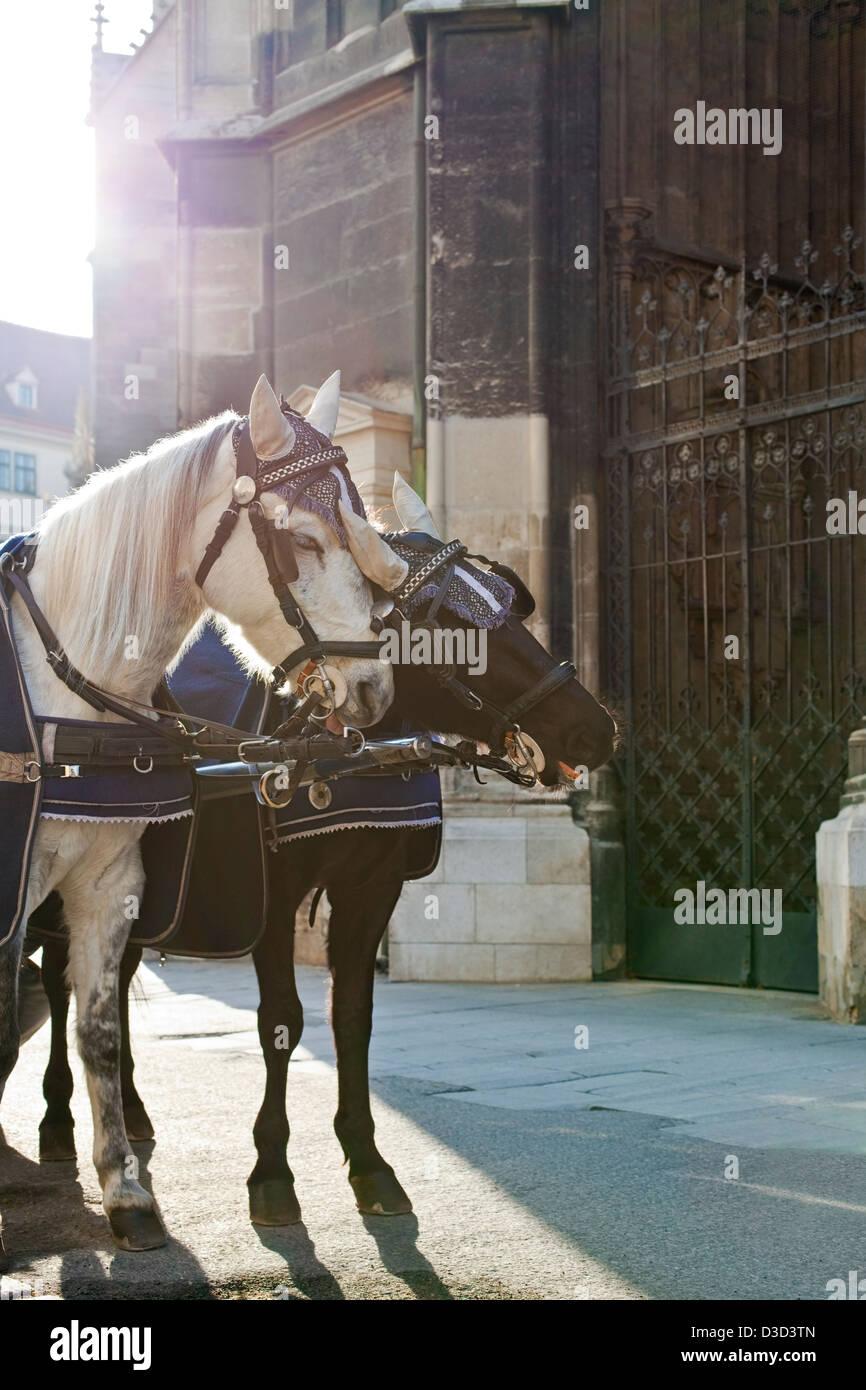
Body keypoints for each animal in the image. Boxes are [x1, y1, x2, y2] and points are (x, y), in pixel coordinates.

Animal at [27, 505, 614, 1223]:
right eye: (453, 626)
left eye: (512, 610)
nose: (596, 730)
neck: (343, 750)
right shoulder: (274, 899)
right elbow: (282, 1021)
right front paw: (272, 1171)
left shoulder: (372, 890)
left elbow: (351, 1018)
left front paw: (368, 1160)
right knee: (62, 987)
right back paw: (57, 1119)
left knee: (111, 986)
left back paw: (132, 1112)